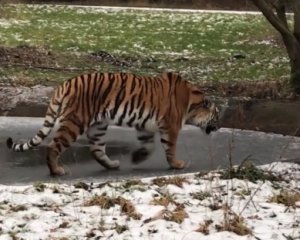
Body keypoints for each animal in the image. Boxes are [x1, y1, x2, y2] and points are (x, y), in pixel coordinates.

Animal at [6, 71, 218, 176]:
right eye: (216, 115)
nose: (218, 127)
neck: (192, 104)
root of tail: (65, 84)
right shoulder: (171, 126)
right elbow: (170, 147)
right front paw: (177, 164)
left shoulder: (146, 126)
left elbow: (148, 145)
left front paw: (138, 158)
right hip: (75, 122)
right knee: (53, 146)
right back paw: (56, 171)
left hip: (98, 126)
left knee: (96, 149)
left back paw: (112, 165)